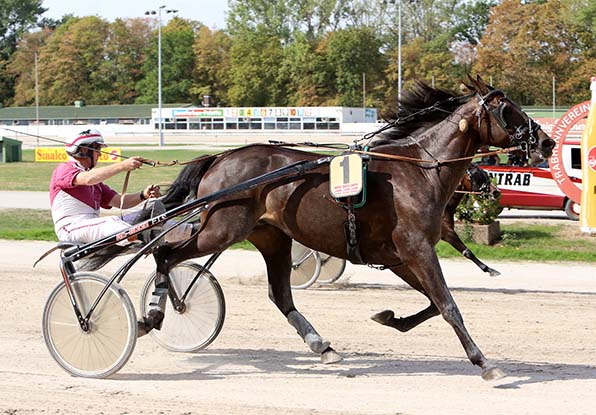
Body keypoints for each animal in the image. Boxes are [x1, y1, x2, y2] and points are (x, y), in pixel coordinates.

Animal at [152, 76, 556, 382]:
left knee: (280, 295)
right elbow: (447, 305)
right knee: (165, 253)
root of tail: (220, 157)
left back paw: (323, 347)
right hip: (222, 228)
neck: (418, 170)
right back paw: (162, 308)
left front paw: (390, 318)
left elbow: (431, 303)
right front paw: (484, 362)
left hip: (271, 237)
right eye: (508, 108)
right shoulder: (416, 248)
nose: (547, 141)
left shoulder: (400, 256)